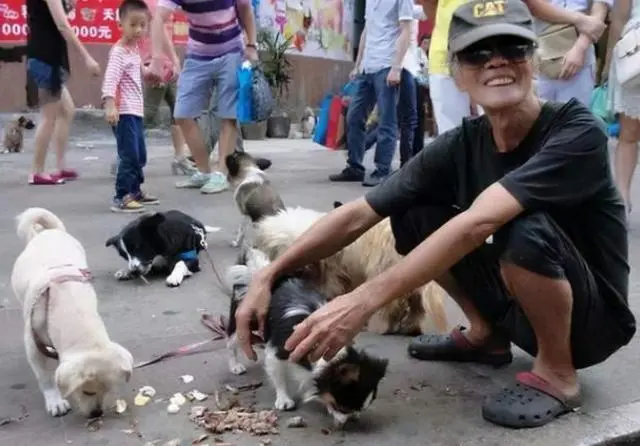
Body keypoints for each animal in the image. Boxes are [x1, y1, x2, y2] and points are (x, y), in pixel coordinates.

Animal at [11, 207, 133, 416]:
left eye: (109, 390)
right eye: (87, 392)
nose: (97, 414)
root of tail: (49, 232)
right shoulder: (33, 346)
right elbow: (46, 378)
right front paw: (55, 401)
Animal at [222, 249, 388, 426]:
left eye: (359, 410)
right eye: (342, 407)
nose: (351, 419)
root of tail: (257, 271)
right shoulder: (278, 350)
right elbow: (279, 377)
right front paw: (284, 400)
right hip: (243, 323)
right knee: (231, 343)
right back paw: (235, 366)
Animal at [252, 205, 448, 334]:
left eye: (300, 245)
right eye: (283, 246)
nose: (299, 270)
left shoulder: (332, 277)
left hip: (382, 267)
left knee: (390, 303)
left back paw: (382, 326)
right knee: (415, 303)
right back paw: (410, 326)